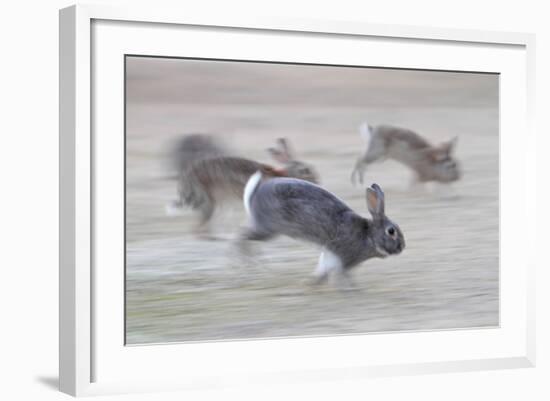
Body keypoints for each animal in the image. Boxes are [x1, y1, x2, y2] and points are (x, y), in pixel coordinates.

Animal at [242, 173, 406, 286]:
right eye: (391, 231)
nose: (402, 247)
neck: (369, 236)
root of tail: (255, 196)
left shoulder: (330, 252)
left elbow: (324, 267)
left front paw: (312, 283)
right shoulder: (341, 255)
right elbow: (340, 273)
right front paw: (350, 289)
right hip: (269, 228)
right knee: (240, 237)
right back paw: (244, 261)